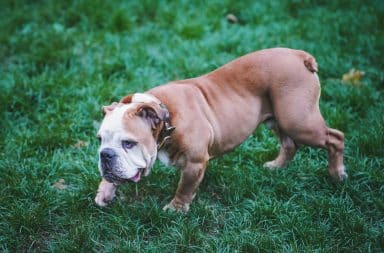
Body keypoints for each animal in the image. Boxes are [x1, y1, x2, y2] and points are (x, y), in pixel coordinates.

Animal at [94, 47, 346, 211]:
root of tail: (299, 55)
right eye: (99, 141)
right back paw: (276, 167)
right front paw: (105, 191)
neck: (165, 115)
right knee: (289, 144)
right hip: (280, 120)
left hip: (299, 121)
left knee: (335, 138)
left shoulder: (195, 163)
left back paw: (337, 173)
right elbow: (113, 176)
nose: (105, 155)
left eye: (129, 143)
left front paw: (176, 209)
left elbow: (184, 188)